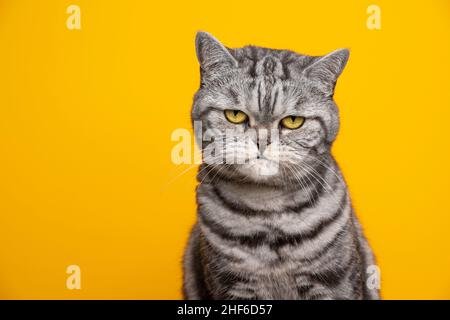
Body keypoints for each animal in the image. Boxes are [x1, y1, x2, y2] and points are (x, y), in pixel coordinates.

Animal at [183, 32, 380, 300]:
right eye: (235, 115)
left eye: (293, 121)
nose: (262, 140)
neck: (268, 209)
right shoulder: (233, 285)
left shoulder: (335, 281)